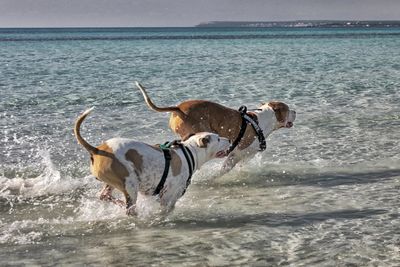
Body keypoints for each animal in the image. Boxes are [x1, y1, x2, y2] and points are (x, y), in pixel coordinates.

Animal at [136, 82, 296, 172]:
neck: (262, 119)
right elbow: (225, 168)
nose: (295, 111)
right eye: (288, 109)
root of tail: (178, 108)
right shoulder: (237, 154)